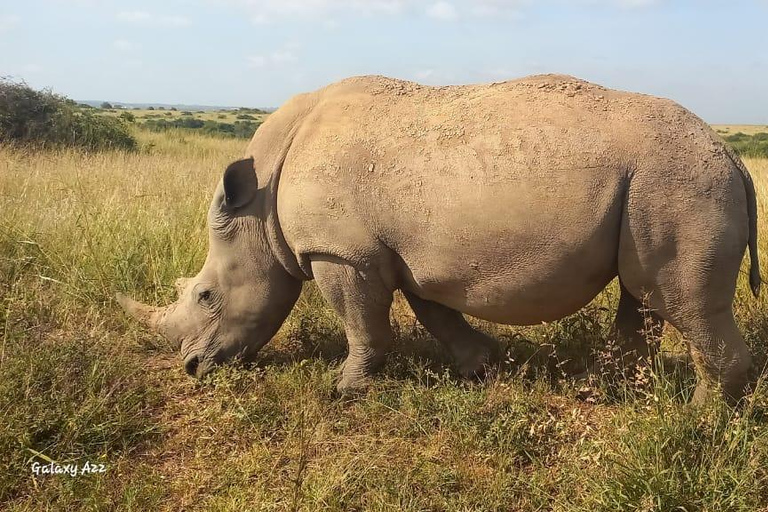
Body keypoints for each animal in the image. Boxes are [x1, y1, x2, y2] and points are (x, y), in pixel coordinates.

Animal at [117, 75, 760, 404]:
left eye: (205, 295)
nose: (192, 368)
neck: (260, 203)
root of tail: (732, 155)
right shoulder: (401, 253)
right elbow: (432, 311)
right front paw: (481, 368)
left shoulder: (340, 250)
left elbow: (361, 321)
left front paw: (344, 391)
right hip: (661, 184)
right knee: (644, 294)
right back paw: (615, 392)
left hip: (681, 182)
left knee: (681, 301)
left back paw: (697, 423)